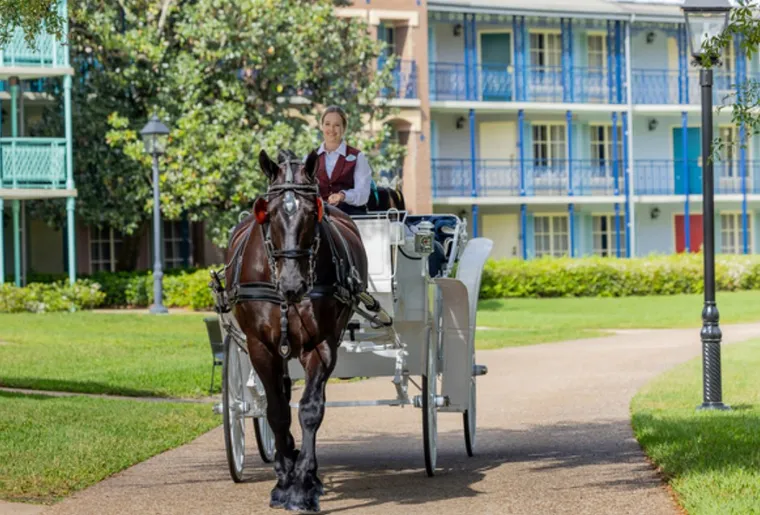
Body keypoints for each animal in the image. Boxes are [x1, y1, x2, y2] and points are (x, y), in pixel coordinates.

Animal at [224, 147, 370, 512]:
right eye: (268, 213)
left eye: (311, 213)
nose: (293, 284)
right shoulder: (260, 347)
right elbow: (276, 411)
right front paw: (283, 478)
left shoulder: (322, 344)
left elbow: (310, 410)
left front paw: (303, 482)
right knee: (279, 395)